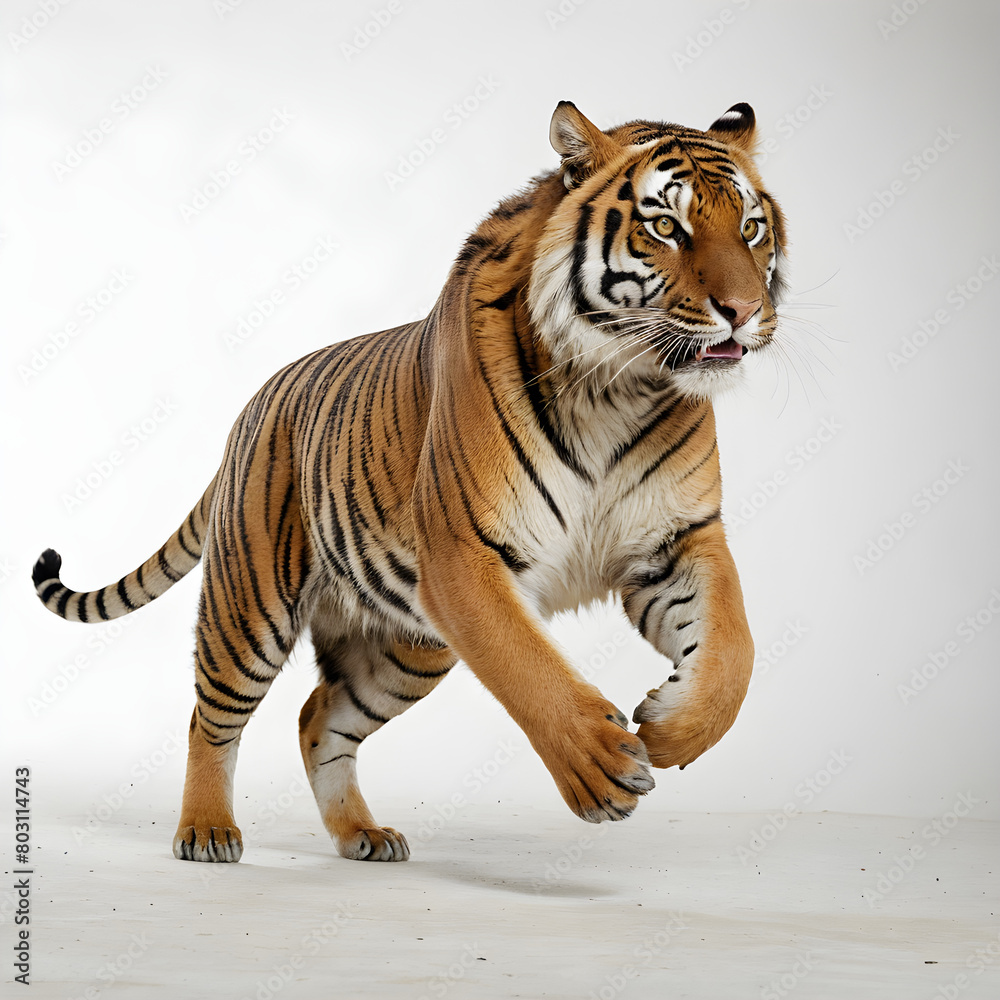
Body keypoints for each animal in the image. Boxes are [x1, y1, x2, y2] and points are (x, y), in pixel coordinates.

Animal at [33, 101, 787, 863]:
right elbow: (528, 667)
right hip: (250, 607)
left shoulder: (679, 541)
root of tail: (255, 402)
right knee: (208, 718)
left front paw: (670, 727)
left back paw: (361, 834)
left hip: (408, 645)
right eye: (665, 227)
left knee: (318, 718)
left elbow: (734, 650)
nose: (744, 310)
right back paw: (208, 830)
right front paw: (600, 765)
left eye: (751, 228)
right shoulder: (464, 556)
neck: (619, 387)